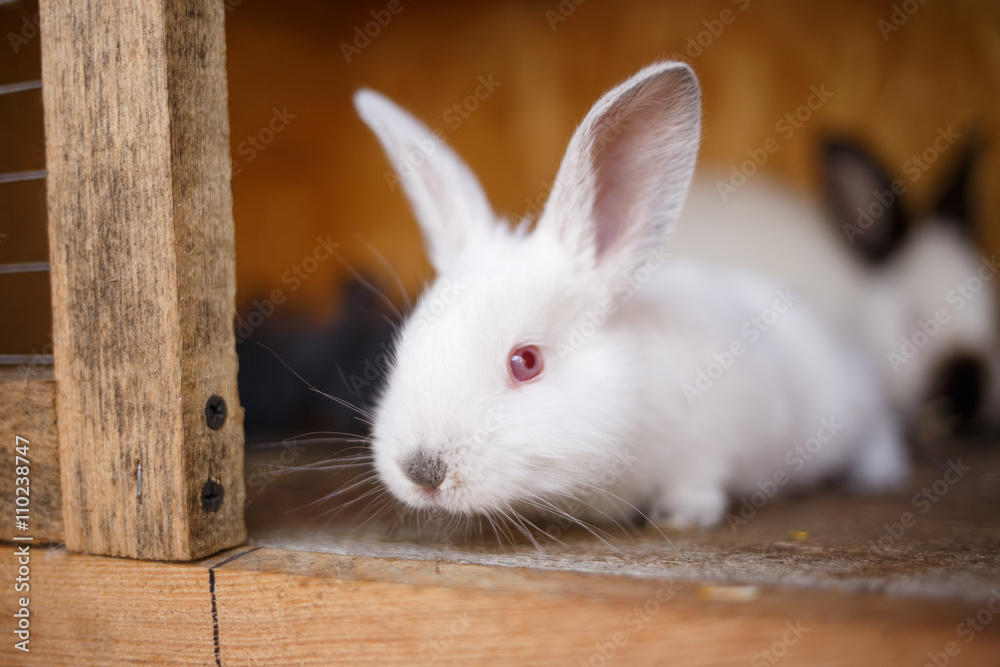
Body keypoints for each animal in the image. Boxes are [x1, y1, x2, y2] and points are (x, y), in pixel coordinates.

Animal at [352, 61, 908, 530]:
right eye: (404, 347)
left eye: (526, 362)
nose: (422, 471)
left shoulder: (721, 427)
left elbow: (704, 475)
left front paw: (682, 513)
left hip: (848, 404)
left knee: (879, 425)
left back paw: (879, 477)